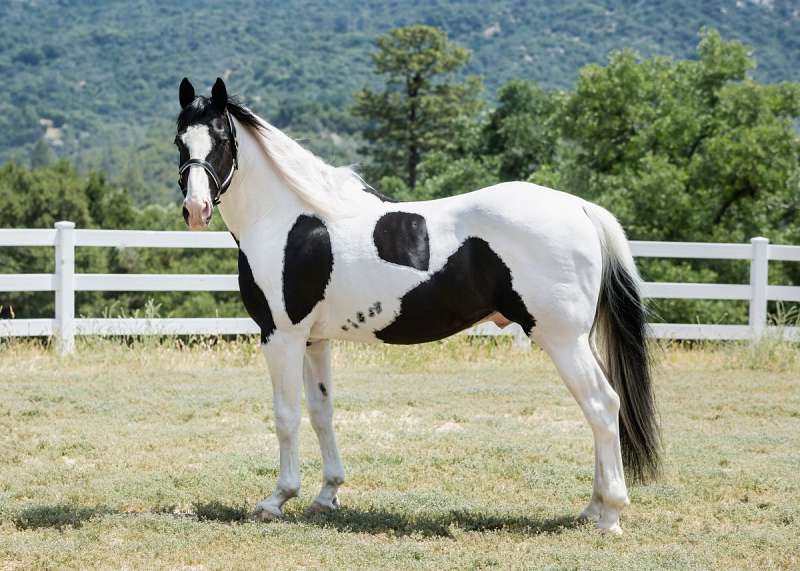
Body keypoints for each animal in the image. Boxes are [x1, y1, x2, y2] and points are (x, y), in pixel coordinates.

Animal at [174, 77, 660, 535]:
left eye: (220, 137)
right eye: (180, 140)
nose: (196, 209)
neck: (288, 219)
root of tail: (580, 209)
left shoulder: (282, 336)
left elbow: (286, 415)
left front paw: (277, 499)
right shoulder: (314, 341)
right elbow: (321, 413)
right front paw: (327, 494)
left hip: (562, 340)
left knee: (601, 405)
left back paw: (610, 514)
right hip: (577, 340)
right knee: (602, 408)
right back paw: (591, 508)